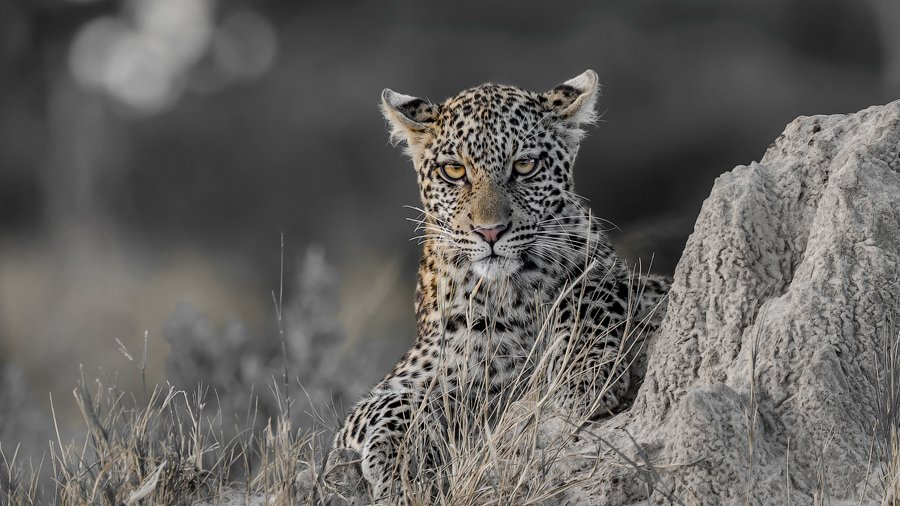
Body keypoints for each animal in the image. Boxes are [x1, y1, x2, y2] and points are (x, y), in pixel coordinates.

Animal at [326, 70, 672, 502]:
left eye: (524, 165)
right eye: (454, 171)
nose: (490, 231)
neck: (511, 294)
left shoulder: (624, 276)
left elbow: (587, 292)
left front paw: (580, 379)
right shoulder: (419, 374)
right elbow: (394, 402)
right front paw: (403, 468)